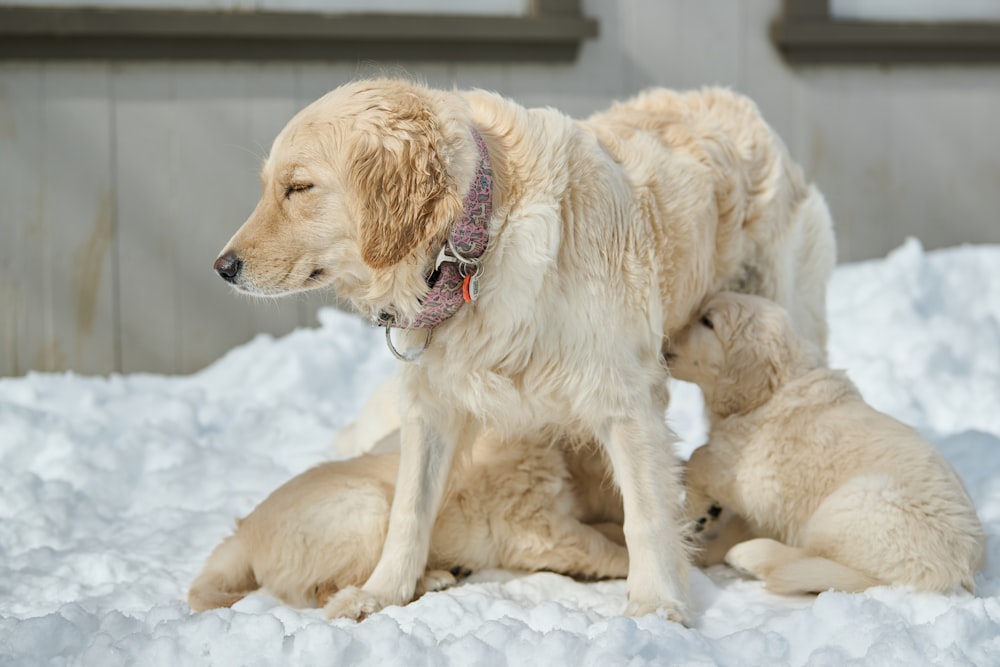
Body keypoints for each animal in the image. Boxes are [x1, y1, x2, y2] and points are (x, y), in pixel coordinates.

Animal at [188, 434, 624, 616]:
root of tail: (242, 533)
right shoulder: (539, 527)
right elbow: (601, 547)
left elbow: (610, 530)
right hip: (365, 511)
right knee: (331, 589)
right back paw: (427, 580)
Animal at [664, 292, 984, 596]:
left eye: (707, 321)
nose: (665, 336)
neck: (774, 388)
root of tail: (953, 571)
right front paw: (704, 525)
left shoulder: (754, 475)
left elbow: (699, 458)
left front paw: (697, 511)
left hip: (849, 505)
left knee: (809, 559)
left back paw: (748, 556)